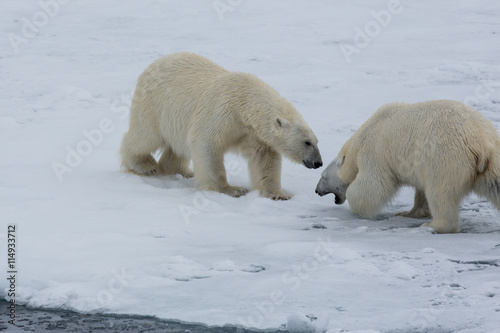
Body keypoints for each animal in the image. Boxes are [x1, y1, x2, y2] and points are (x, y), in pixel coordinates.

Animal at [123, 51, 322, 200]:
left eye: (316, 141)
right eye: (306, 142)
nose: (318, 162)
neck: (244, 103)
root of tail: (155, 63)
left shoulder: (252, 133)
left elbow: (264, 158)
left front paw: (277, 194)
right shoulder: (220, 112)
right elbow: (206, 144)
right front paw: (229, 189)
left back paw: (183, 171)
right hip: (154, 104)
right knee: (145, 136)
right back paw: (144, 165)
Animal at [316, 100, 500, 232]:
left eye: (323, 176)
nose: (317, 191)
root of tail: (479, 142)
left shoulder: (374, 153)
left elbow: (372, 186)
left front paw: (358, 206)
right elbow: (420, 191)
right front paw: (408, 213)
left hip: (444, 159)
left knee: (440, 193)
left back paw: (433, 226)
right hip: (493, 161)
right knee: (495, 184)